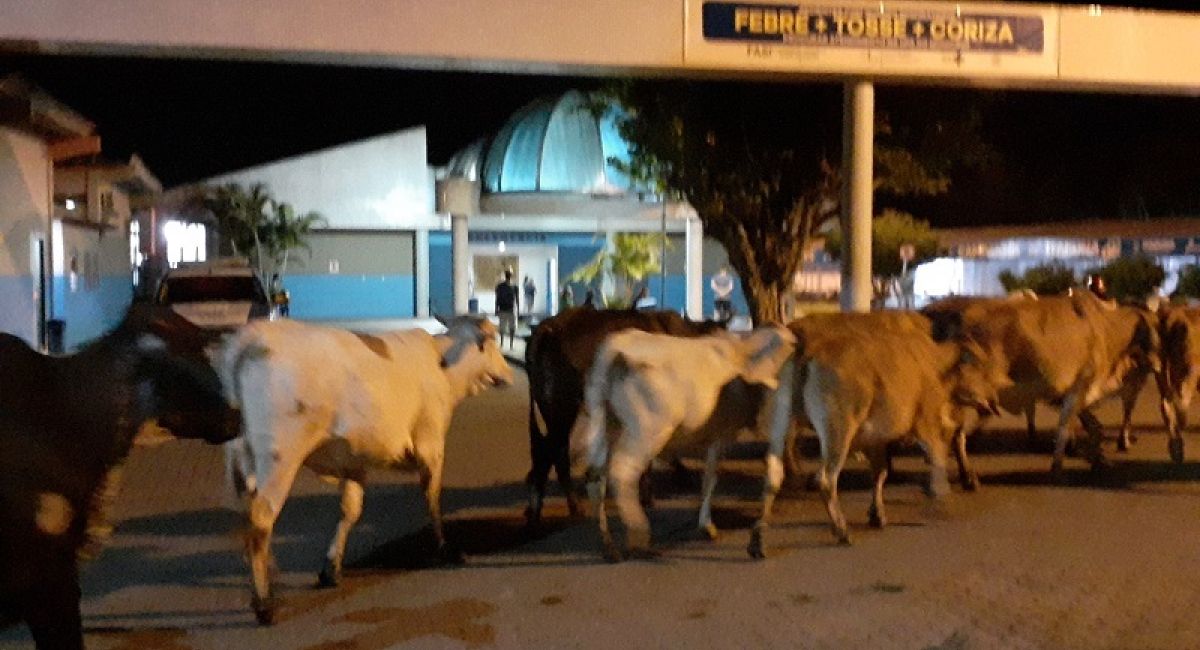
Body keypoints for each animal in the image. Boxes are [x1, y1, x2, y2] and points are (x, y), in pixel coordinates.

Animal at [218, 316, 513, 625]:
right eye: (493, 342)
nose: (508, 374)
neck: (443, 364)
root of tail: (255, 337)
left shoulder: (353, 462)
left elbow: (351, 510)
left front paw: (331, 569)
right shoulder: (431, 443)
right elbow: (432, 500)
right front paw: (444, 548)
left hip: (242, 457)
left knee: (247, 518)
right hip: (280, 457)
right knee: (260, 521)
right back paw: (264, 603)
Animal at [523, 307, 725, 528]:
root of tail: (547, 329)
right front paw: (651, 493)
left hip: (549, 410)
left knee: (547, 452)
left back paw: (542, 509)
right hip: (562, 410)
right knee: (551, 453)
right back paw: (559, 509)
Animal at [582, 326, 795, 561]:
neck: (739, 354)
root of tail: (616, 347)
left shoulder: (715, 435)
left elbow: (709, 477)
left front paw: (706, 524)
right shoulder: (721, 434)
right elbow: (711, 478)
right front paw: (707, 526)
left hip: (605, 423)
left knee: (595, 477)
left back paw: (608, 545)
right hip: (647, 430)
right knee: (622, 473)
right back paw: (639, 533)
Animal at [749, 326, 999, 555]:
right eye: (980, 367)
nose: (993, 401)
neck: (934, 364)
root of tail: (808, 347)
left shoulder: (875, 440)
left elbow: (880, 473)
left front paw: (877, 514)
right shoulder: (926, 423)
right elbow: (936, 458)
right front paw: (939, 501)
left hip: (781, 423)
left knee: (773, 477)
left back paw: (758, 540)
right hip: (838, 430)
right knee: (826, 479)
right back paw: (842, 531)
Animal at [922, 292, 1162, 478]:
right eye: (1155, 327)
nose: (1157, 365)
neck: (1107, 330)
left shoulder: (1074, 394)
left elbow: (1094, 427)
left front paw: (1099, 460)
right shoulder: (1079, 389)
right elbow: (1065, 428)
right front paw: (1057, 468)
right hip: (966, 394)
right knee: (954, 431)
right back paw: (966, 475)